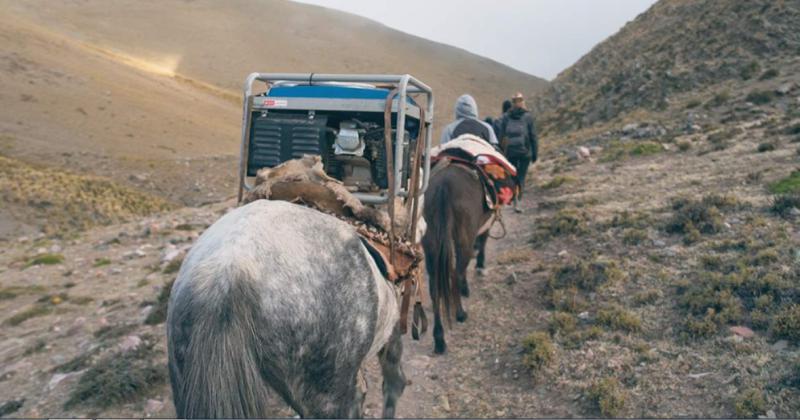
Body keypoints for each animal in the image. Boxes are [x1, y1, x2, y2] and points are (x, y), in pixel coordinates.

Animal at [422, 161, 496, 354]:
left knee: (435, 288)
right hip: (463, 241)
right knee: (456, 273)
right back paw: (460, 313)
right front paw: (479, 268)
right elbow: (483, 241)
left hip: (431, 244)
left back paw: (439, 339)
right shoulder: (486, 224)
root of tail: (443, 187)